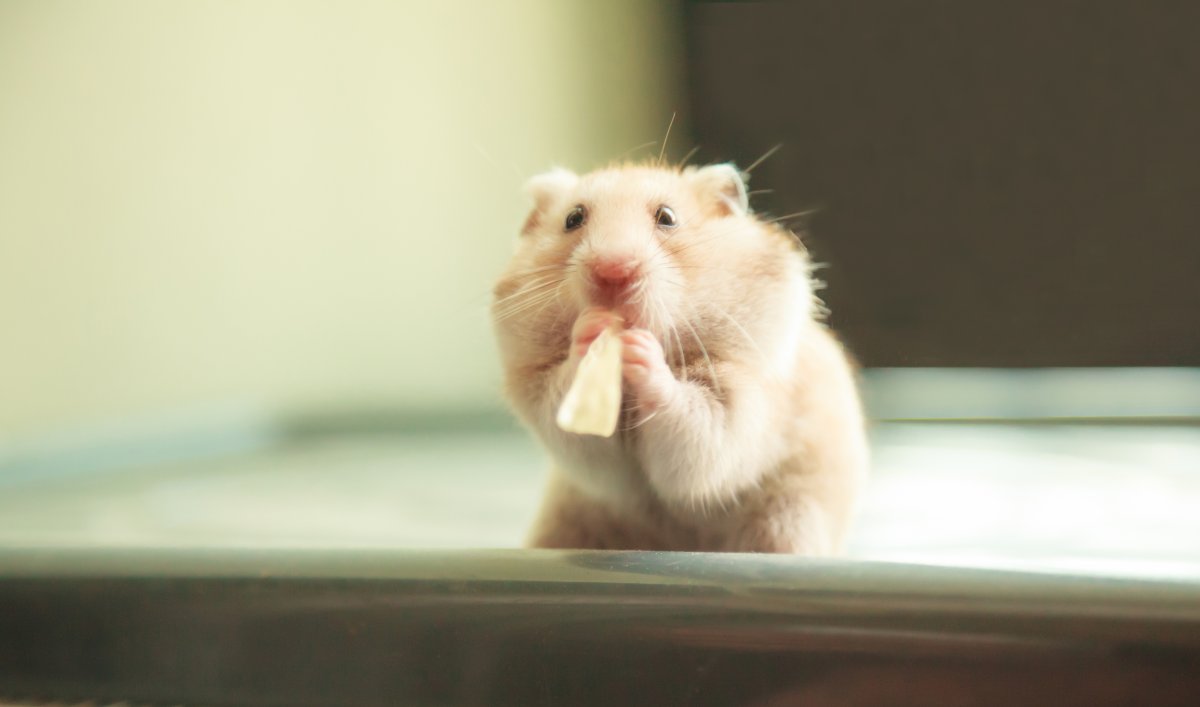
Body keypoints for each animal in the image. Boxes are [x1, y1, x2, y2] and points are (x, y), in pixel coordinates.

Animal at [492, 160, 868, 556]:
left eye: (667, 217)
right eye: (573, 218)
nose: (613, 270)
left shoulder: (738, 399)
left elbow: (695, 420)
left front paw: (642, 350)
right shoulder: (546, 400)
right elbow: (574, 421)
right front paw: (592, 332)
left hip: (788, 515)